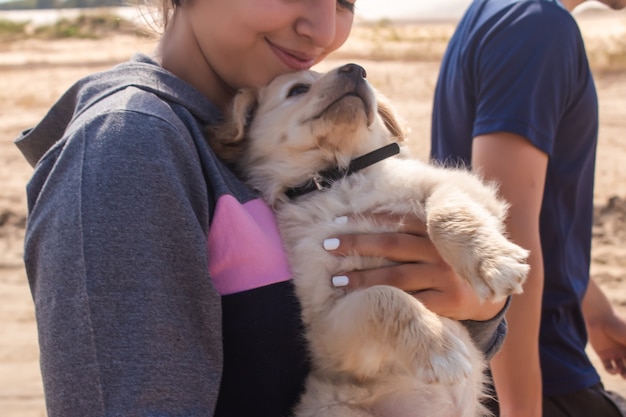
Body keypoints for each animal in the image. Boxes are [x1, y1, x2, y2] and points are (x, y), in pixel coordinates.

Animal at [210, 62, 528, 416]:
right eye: (297, 90)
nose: (355, 69)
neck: (339, 177)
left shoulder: (462, 185)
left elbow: (444, 214)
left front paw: (494, 262)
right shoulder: (327, 327)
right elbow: (379, 296)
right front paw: (438, 347)